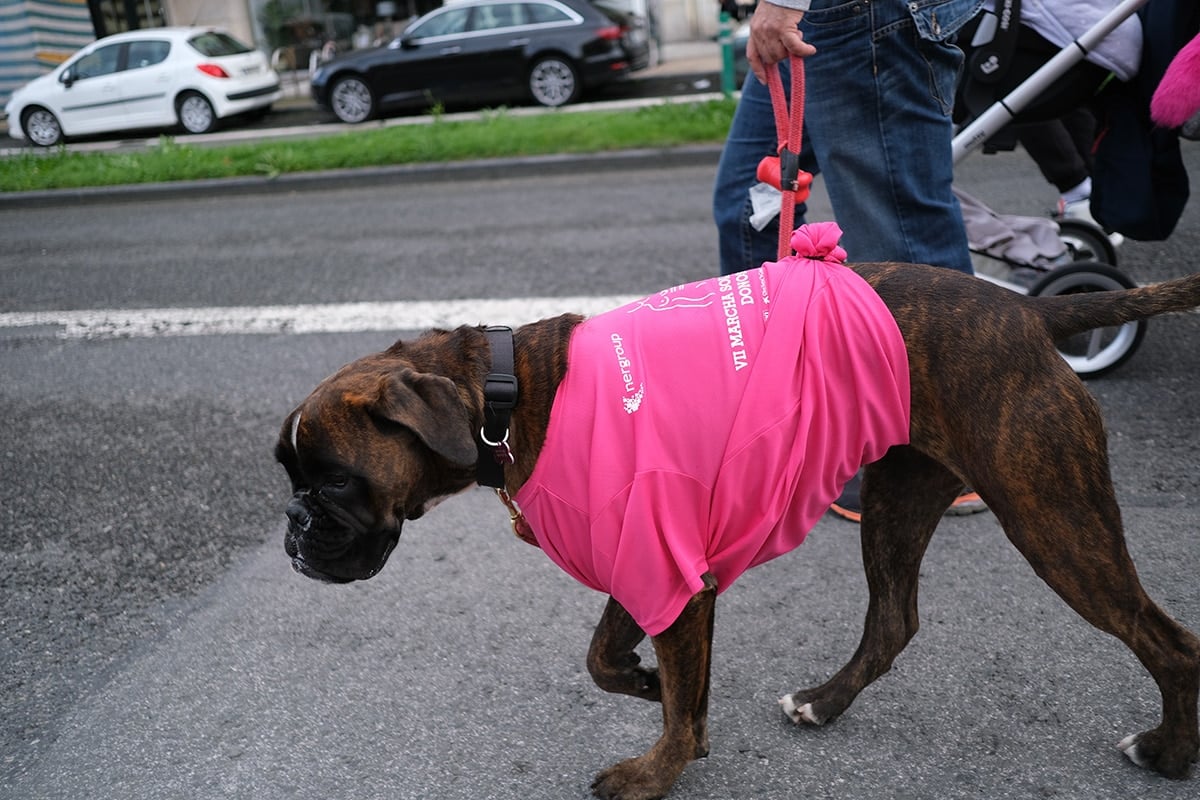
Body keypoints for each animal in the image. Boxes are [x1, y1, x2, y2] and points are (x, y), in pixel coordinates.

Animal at [274, 263, 1200, 800]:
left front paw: (654, 771)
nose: (292, 525)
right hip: (899, 500)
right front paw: (652, 689)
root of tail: (1025, 312)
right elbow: (609, 660)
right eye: (290, 477)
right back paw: (823, 702)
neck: (506, 395)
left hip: (1052, 519)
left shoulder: (672, 577)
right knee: (892, 622)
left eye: (333, 479)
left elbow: (661, 699)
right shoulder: (651, 569)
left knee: (1168, 640)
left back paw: (1167, 752)